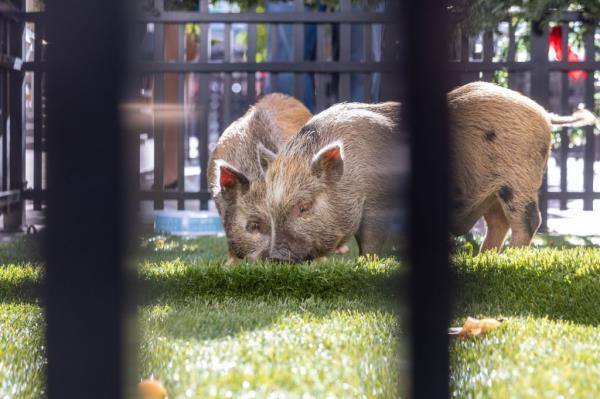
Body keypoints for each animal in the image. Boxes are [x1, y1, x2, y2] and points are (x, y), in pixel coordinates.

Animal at [260, 101, 400, 260]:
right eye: (270, 208)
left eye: (305, 206)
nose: (276, 256)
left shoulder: (380, 200)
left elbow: (371, 241)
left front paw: (365, 262)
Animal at [450, 79, 596, 252]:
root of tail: (544, 112)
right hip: (493, 188)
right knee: (499, 222)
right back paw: (485, 256)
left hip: (518, 178)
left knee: (527, 221)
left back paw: (508, 256)